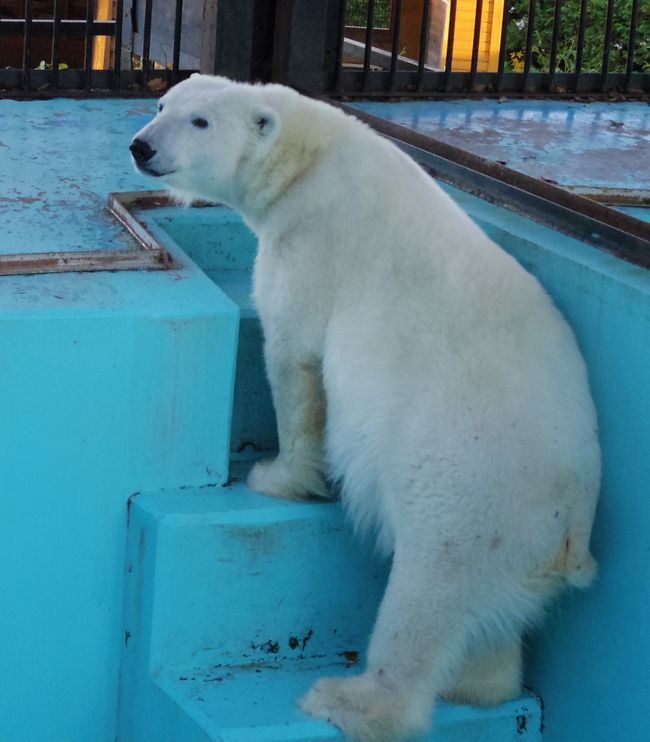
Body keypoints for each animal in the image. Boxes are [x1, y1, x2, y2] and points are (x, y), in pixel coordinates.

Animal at [129, 77, 600, 742]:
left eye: (200, 121)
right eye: (162, 105)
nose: (141, 146)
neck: (310, 155)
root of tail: (574, 525)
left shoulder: (312, 244)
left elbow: (296, 355)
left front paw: (279, 476)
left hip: (474, 492)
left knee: (428, 591)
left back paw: (350, 699)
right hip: (518, 539)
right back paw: (473, 683)